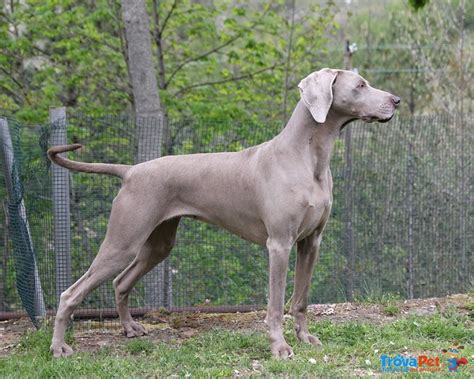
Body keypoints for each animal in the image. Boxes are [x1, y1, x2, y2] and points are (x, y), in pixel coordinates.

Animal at [48, 67, 398, 360]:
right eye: (360, 85)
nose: (396, 100)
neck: (308, 158)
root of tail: (130, 170)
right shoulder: (279, 244)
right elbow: (275, 304)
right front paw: (279, 347)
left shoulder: (311, 241)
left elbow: (301, 299)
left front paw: (304, 337)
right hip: (122, 241)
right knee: (70, 293)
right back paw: (59, 347)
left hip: (158, 243)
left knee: (121, 282)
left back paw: (129, 328)